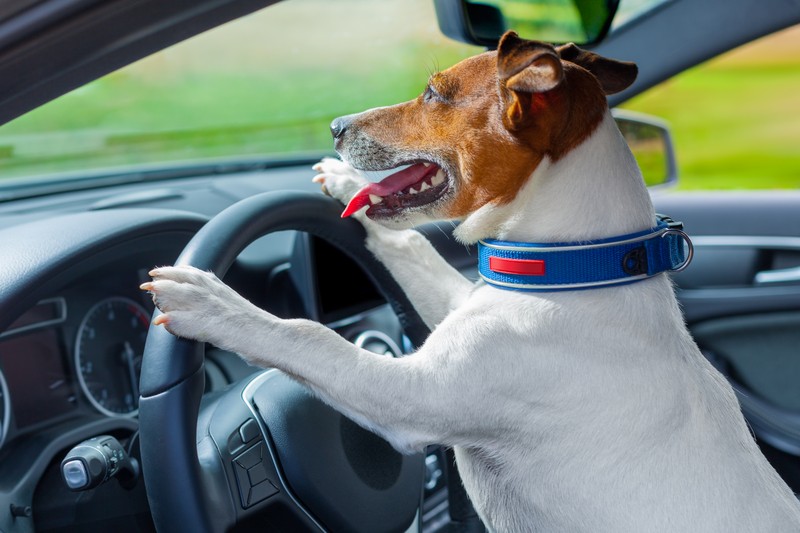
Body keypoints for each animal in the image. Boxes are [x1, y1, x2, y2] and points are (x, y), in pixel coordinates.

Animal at [144, 32, 800, 532]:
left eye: (435, 92)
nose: (333, 126)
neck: (576, 272)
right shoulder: (465, 306)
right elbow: (410, 246)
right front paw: (343, 184)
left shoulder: (412, 396)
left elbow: (309, 336)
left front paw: (215, 303)